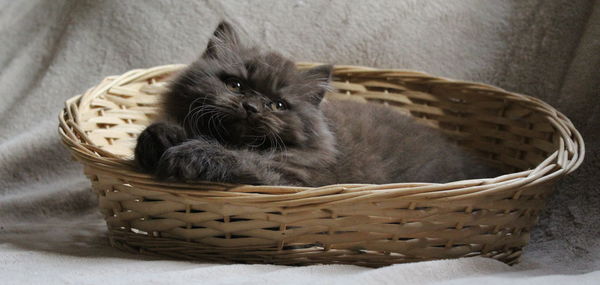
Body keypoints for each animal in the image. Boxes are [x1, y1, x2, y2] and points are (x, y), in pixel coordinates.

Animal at [135, 22, 496, 186]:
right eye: (235, 84)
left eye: (279, 105)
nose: (252, 107)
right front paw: (163, 136)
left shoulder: (288, 182)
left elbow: (242, 161)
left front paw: (188, 153)